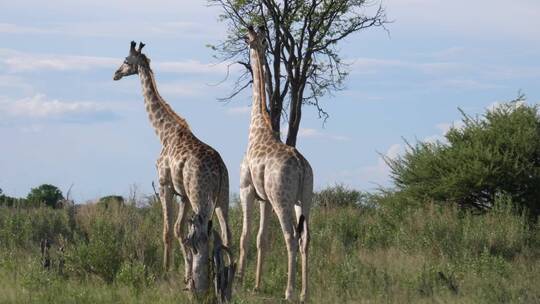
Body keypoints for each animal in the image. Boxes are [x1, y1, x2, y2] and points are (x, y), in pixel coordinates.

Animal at [113, 41, 231, 292]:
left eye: (126, 60)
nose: (115, 73)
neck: (164, 133)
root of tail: (218, 166)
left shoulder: (164, 183)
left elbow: (168, 231)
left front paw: (166, 272)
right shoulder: (182, 194)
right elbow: (180, 231)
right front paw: (185, 274)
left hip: (200, 196)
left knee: (205, 235)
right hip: (222, 196)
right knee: (227, 233)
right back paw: (232, 275)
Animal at [238, 27, 314, 302]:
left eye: (247, 39)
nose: (251, 41)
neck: (258, 129)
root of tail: (301, 165)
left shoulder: (247, 190)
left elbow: (246, 235)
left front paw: (240, 279)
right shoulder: (265, 199)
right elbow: (262, 238)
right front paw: (257, 284)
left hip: (283, 200)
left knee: (290, 237)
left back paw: (289, 291)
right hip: (304, 198)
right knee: (305, 238)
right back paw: (304, 292)